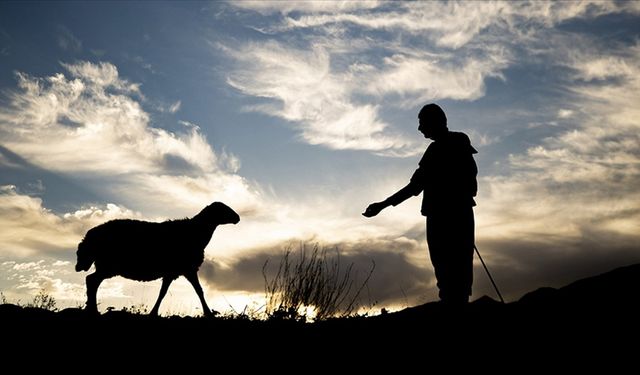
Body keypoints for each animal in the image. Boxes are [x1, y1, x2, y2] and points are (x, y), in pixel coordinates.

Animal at [75, 201, 240, 316]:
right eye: (224, 209)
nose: (237, 218)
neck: (196, 232)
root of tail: (89, 237)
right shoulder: (187, 269)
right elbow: (198, 291)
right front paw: (208, 313)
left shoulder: (174, 272)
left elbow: (164, 292)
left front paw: (153, 312)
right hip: (108, 265)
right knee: (91, 280)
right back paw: (92, 310)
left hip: (105, 266)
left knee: (92, 281)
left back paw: (91, 309)